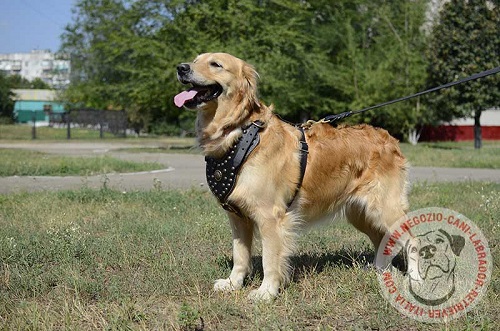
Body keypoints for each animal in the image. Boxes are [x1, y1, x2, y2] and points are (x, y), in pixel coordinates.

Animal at [174, 52, 408, 300]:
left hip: (386, 209)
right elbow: (240, 254)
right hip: (361, 213)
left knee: (412, 240)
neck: (240, 133)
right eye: (195, 59)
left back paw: (415, 278)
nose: (181, 68)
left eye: (215, 64)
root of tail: (391, 139)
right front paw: (232, 283)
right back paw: (381, 271)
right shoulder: (237, 217)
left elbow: (270, 259)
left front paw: (266, 292)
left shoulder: (270, 217)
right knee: (383, 241)